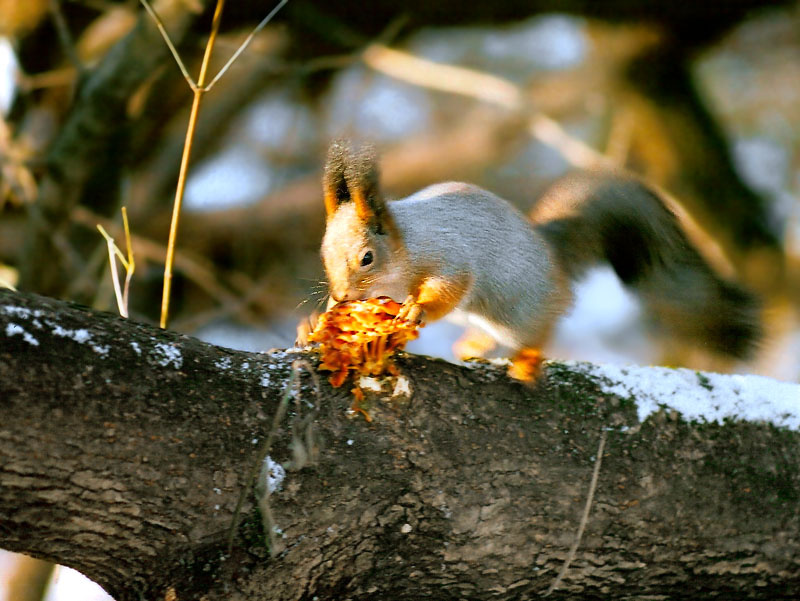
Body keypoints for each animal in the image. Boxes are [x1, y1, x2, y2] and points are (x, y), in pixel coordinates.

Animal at [319, 140, 762, 376]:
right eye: (324, 252)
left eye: (367, 258)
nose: (340, 297)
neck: (403, 246)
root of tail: (553, 255)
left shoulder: (447, 252)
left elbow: (451, 285)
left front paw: (417, 310)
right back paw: (472, 347)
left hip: (520, 311)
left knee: (538, 328)